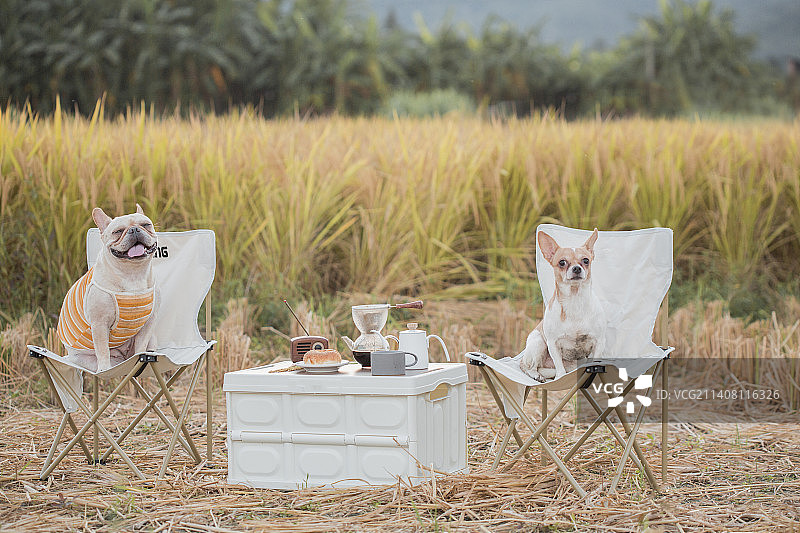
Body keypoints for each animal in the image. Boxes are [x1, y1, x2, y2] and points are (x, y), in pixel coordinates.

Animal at [520, 227, 608, 380]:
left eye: (586, 260)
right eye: (562, 262)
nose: (577, 268)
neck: (575, 299)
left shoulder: (598, 342)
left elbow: (594, 361)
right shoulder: (553, 343)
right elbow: (559, 367)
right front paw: (560, 377)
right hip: (538, 343)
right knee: (528, 366)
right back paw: (537, 375)